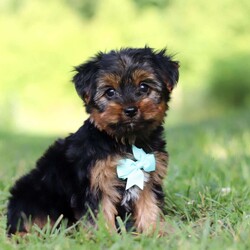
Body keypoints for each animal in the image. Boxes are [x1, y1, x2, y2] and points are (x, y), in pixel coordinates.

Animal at [6, 46, 179, 234]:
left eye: (144, 86)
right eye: (110, 92)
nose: (131, 110)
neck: (125, 141)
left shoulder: (148, 179)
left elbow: (150, 206)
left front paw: (156, 232)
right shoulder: (95, 183)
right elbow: (99, 214)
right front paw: (106, 236)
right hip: (33, 195)